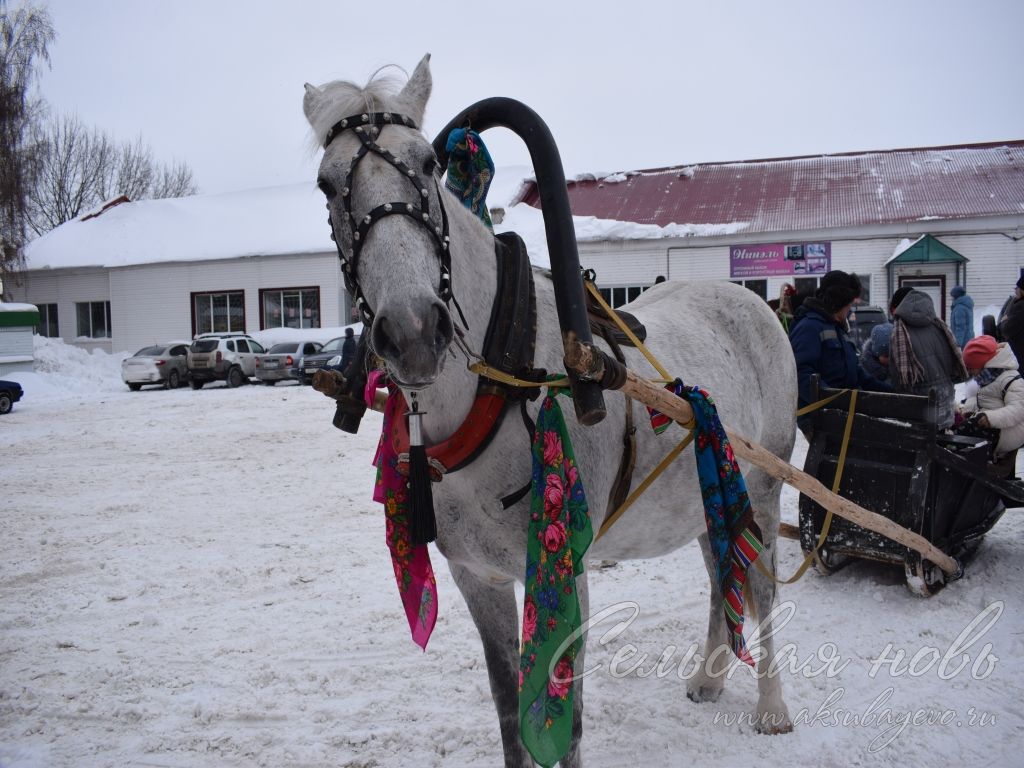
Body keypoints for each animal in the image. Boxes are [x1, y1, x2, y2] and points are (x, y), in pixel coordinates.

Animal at [303, 55, 798, 768]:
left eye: (427, 162)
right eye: (326, 183)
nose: (412, 329)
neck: (497, 388)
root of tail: (754, 302)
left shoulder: (566, 577)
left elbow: (567, 725)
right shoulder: (477, 578)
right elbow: (510, 707)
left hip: (760, 482)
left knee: (760, 585)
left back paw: (772, 707)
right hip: (710, 484)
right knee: (717, 570)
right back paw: (708, 678)